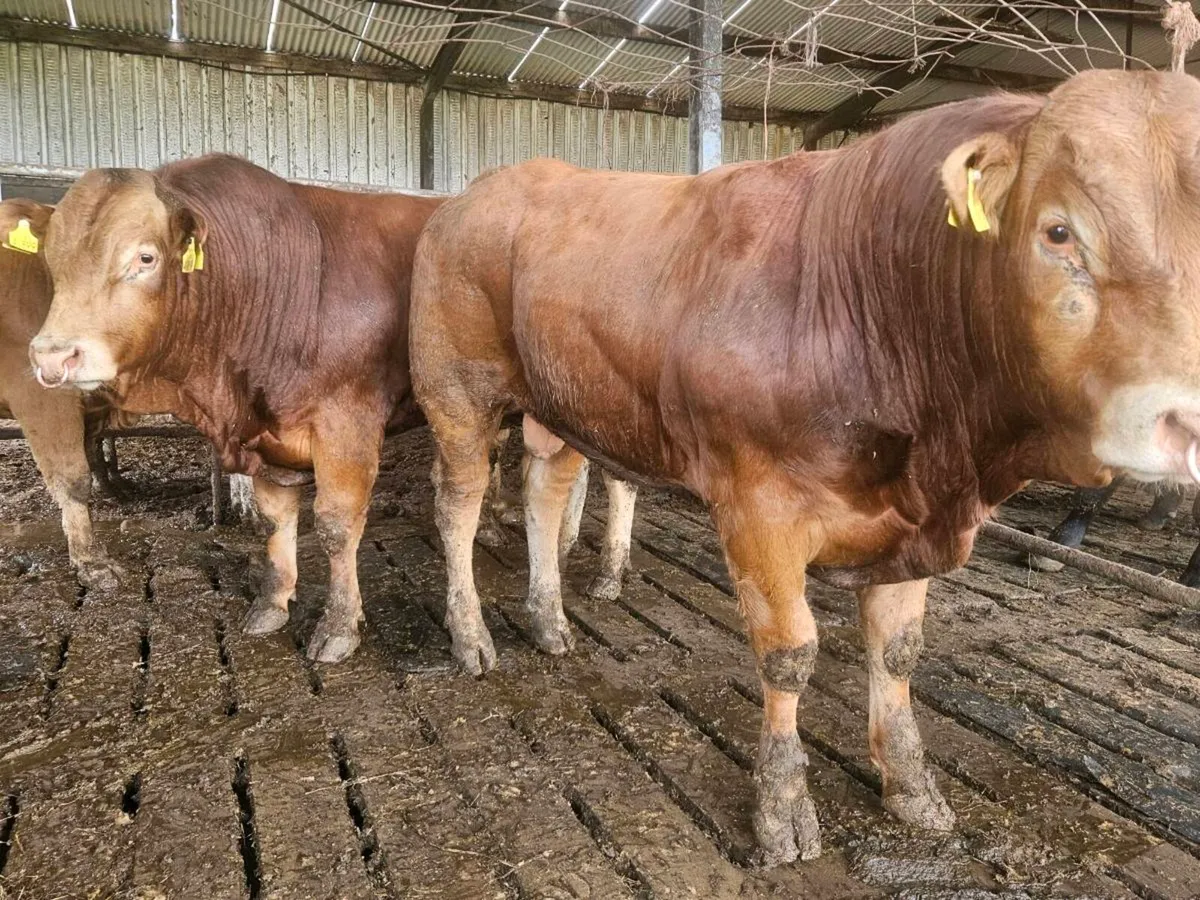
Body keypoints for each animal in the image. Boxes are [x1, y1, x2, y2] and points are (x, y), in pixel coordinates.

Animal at [408, 69, 1200, 865]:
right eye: (1058, 230)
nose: (1184, 419)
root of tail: (479, 192)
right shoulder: (758, 508)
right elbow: (789, 653)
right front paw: (783, 807)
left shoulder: (909, 518)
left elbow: (899, 653)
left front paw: (913, 787)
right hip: (457, 393)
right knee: (458, 506)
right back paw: (472, 637)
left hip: (562, 405)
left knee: (545, 494)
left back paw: (547, 620)